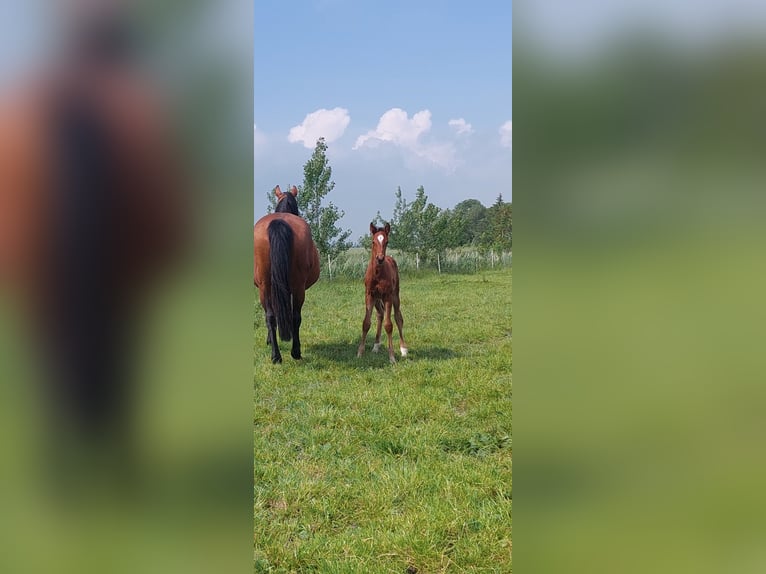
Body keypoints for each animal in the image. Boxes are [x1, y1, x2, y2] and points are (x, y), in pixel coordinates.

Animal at [255, 186, 320, 364]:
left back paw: (278, 355)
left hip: (267, 287)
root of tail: (279, 222)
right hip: (296, 288)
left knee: (271, 316)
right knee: (292, 316)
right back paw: (292, 352)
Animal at [358, 222, 408, 364]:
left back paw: (403, 349)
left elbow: (389, 325)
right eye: (373, 241)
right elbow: (366, 323)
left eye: (387, 242)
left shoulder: (387, 296)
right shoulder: (369, 295)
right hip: (376, 298)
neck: (377, 274)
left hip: (395, 295)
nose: (380, 258)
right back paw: (376, 346)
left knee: (398, 318)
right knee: (380, 314)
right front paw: (360, 352)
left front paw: (392, 357)